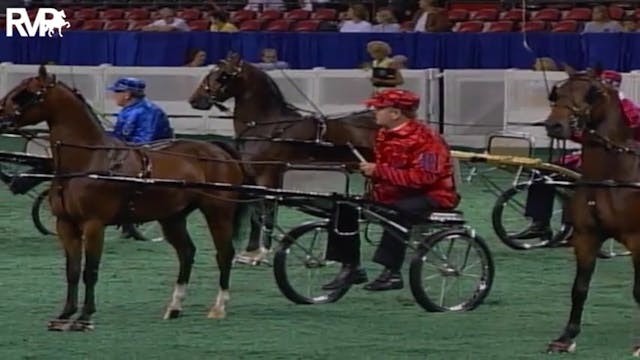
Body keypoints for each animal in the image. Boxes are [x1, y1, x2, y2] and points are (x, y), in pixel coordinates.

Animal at [0, 65, 248, 332]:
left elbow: (90, 270)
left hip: (218, 212)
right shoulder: (65, 225)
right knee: (186, 253)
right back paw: (174, 307)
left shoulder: (94, 225)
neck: (88, 161)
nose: (0, 117)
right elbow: (72, 271)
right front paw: (65, 314)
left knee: (224, 253)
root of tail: (216, 148)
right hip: (172, 217)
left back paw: (218, 307)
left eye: (24, 94)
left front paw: (84, 317)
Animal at [190, 52, 380, 262]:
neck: (268, 127)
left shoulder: (269, 179)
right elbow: (256, 214)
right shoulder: (255, 180)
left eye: (223, 76)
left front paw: (263, 252)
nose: (194, 100)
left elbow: (268, 213)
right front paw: (250, 251)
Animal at [544, 66, 640, 356]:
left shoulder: (637, 241)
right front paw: (566, 337)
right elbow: (580, 288)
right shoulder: (586, 238)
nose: (555, 125)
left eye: (592, 92)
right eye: (558, 91)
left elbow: (639, 291)